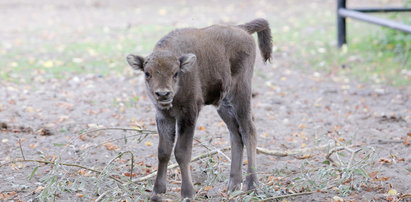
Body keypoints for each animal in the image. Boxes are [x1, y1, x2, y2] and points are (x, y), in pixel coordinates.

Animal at [127, 18, 272, 200]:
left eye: (175, 73)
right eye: (147, 73)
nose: (163, 94)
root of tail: (242, 29)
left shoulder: (188, 114)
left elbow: (182, 152)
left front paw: (188, 193)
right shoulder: (163, 116)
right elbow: (163, 151)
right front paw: (157, 191)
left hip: (241, 94)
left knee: (248, 131)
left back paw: (251, 184)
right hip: (223, 105)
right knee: (235, 134)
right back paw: (233, 184)